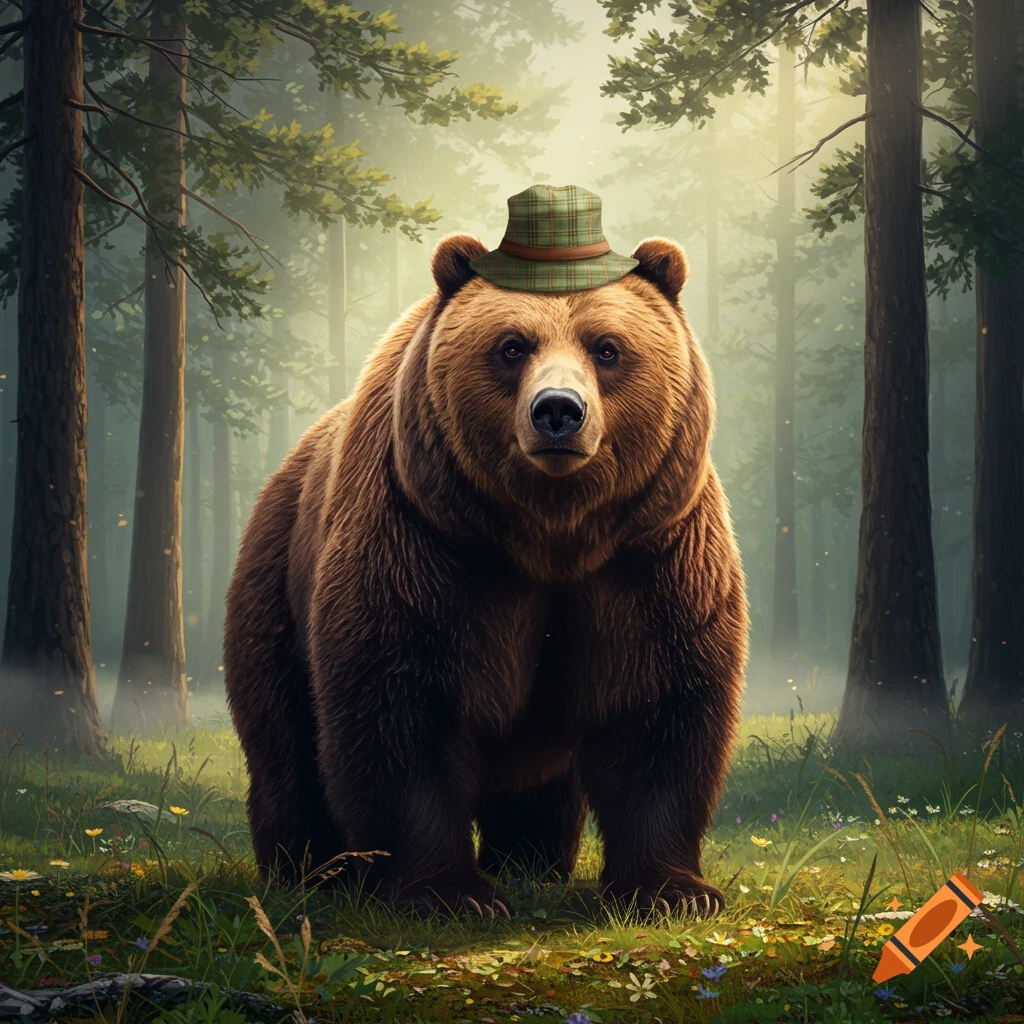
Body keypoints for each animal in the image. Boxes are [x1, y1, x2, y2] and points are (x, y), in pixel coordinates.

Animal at [223, 231, 749, 919]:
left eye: (607, 348)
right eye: (512, 346)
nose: (559, 412)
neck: (551, 536)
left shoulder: (650, 554)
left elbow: (658, 705)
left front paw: (672, 891)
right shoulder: (427, 543)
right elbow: (402, 706)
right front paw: (446, 894)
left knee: (541, 785)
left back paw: (531, 862)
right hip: (276, 583)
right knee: (286, 744)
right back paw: (307, 870)